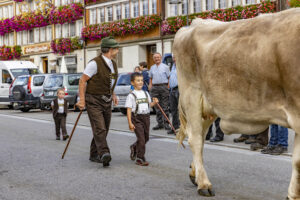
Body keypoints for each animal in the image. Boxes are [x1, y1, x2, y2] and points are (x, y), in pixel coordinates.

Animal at [172, 7, 300, 198]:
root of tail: (193, 24)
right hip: (191, 94)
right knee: (195, 139)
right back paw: (204, 183)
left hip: (209, 104)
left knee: (201, 136)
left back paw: (194, 174)